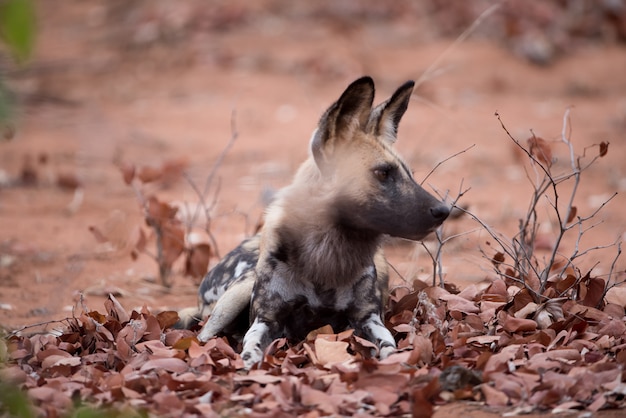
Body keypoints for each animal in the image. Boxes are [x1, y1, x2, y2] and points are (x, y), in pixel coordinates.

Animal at [188, 76, 446, 368]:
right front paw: (249, 363)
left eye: (409, 174)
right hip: (234, 297)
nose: (444, 210)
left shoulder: (367, 319)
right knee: (203, 336)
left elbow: (388, 346)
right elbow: (251, 347)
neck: (325, 255)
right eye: (383, 173)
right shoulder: (266, 320)